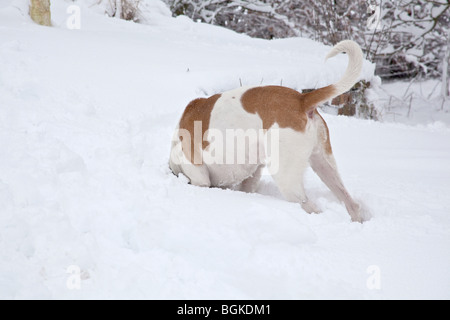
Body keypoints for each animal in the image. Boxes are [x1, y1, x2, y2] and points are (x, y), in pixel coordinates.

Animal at [171, 40, 364, 222]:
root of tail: (301, 99)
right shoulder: (253, 174)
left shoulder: (199, 176)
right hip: (324, 165)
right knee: (352, 204)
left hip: (287, 178)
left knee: (309, 206)